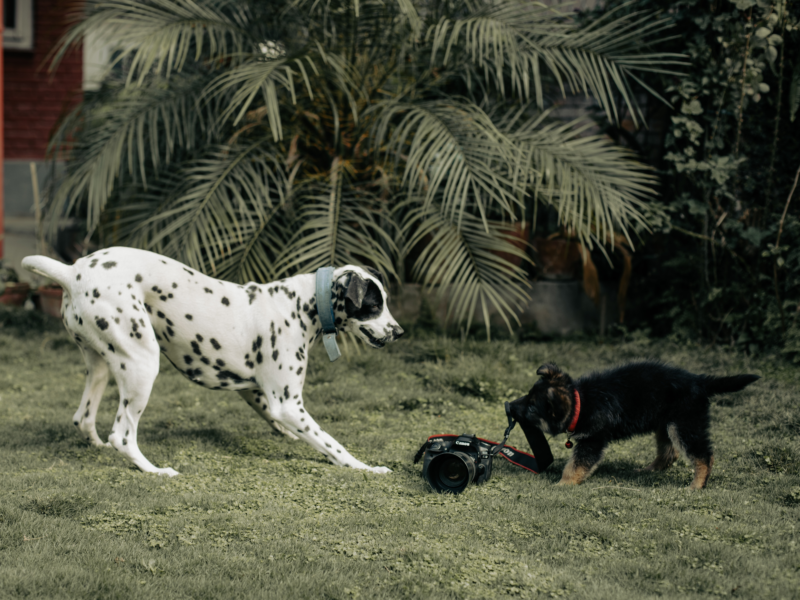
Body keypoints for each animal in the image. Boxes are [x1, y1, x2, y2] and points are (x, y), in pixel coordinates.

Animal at [21, 246, 404, 476]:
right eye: (374, 305)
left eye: (385, 301)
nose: (399, 331)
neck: (300, 304)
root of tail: (73, 272)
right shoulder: (288, 404)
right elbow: (332, 444)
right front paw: (365, 467)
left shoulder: (258, 394)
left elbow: (281, 424)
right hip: (143, 364)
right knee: (123, 435)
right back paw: (154, 470)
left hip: (101, 367)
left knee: (83, 419)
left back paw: (99, 446)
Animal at [510, 360, 760, 488]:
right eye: (527, 397)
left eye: (531, 408)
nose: (509, 406)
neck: (582, 401)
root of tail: (699, 381)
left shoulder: (593, 440)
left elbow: (576, 465)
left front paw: (563, 484)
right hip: (665, 424)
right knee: (670, 453)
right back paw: (650, 470)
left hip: (685, 424)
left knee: (703, 456)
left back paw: (697, 485)